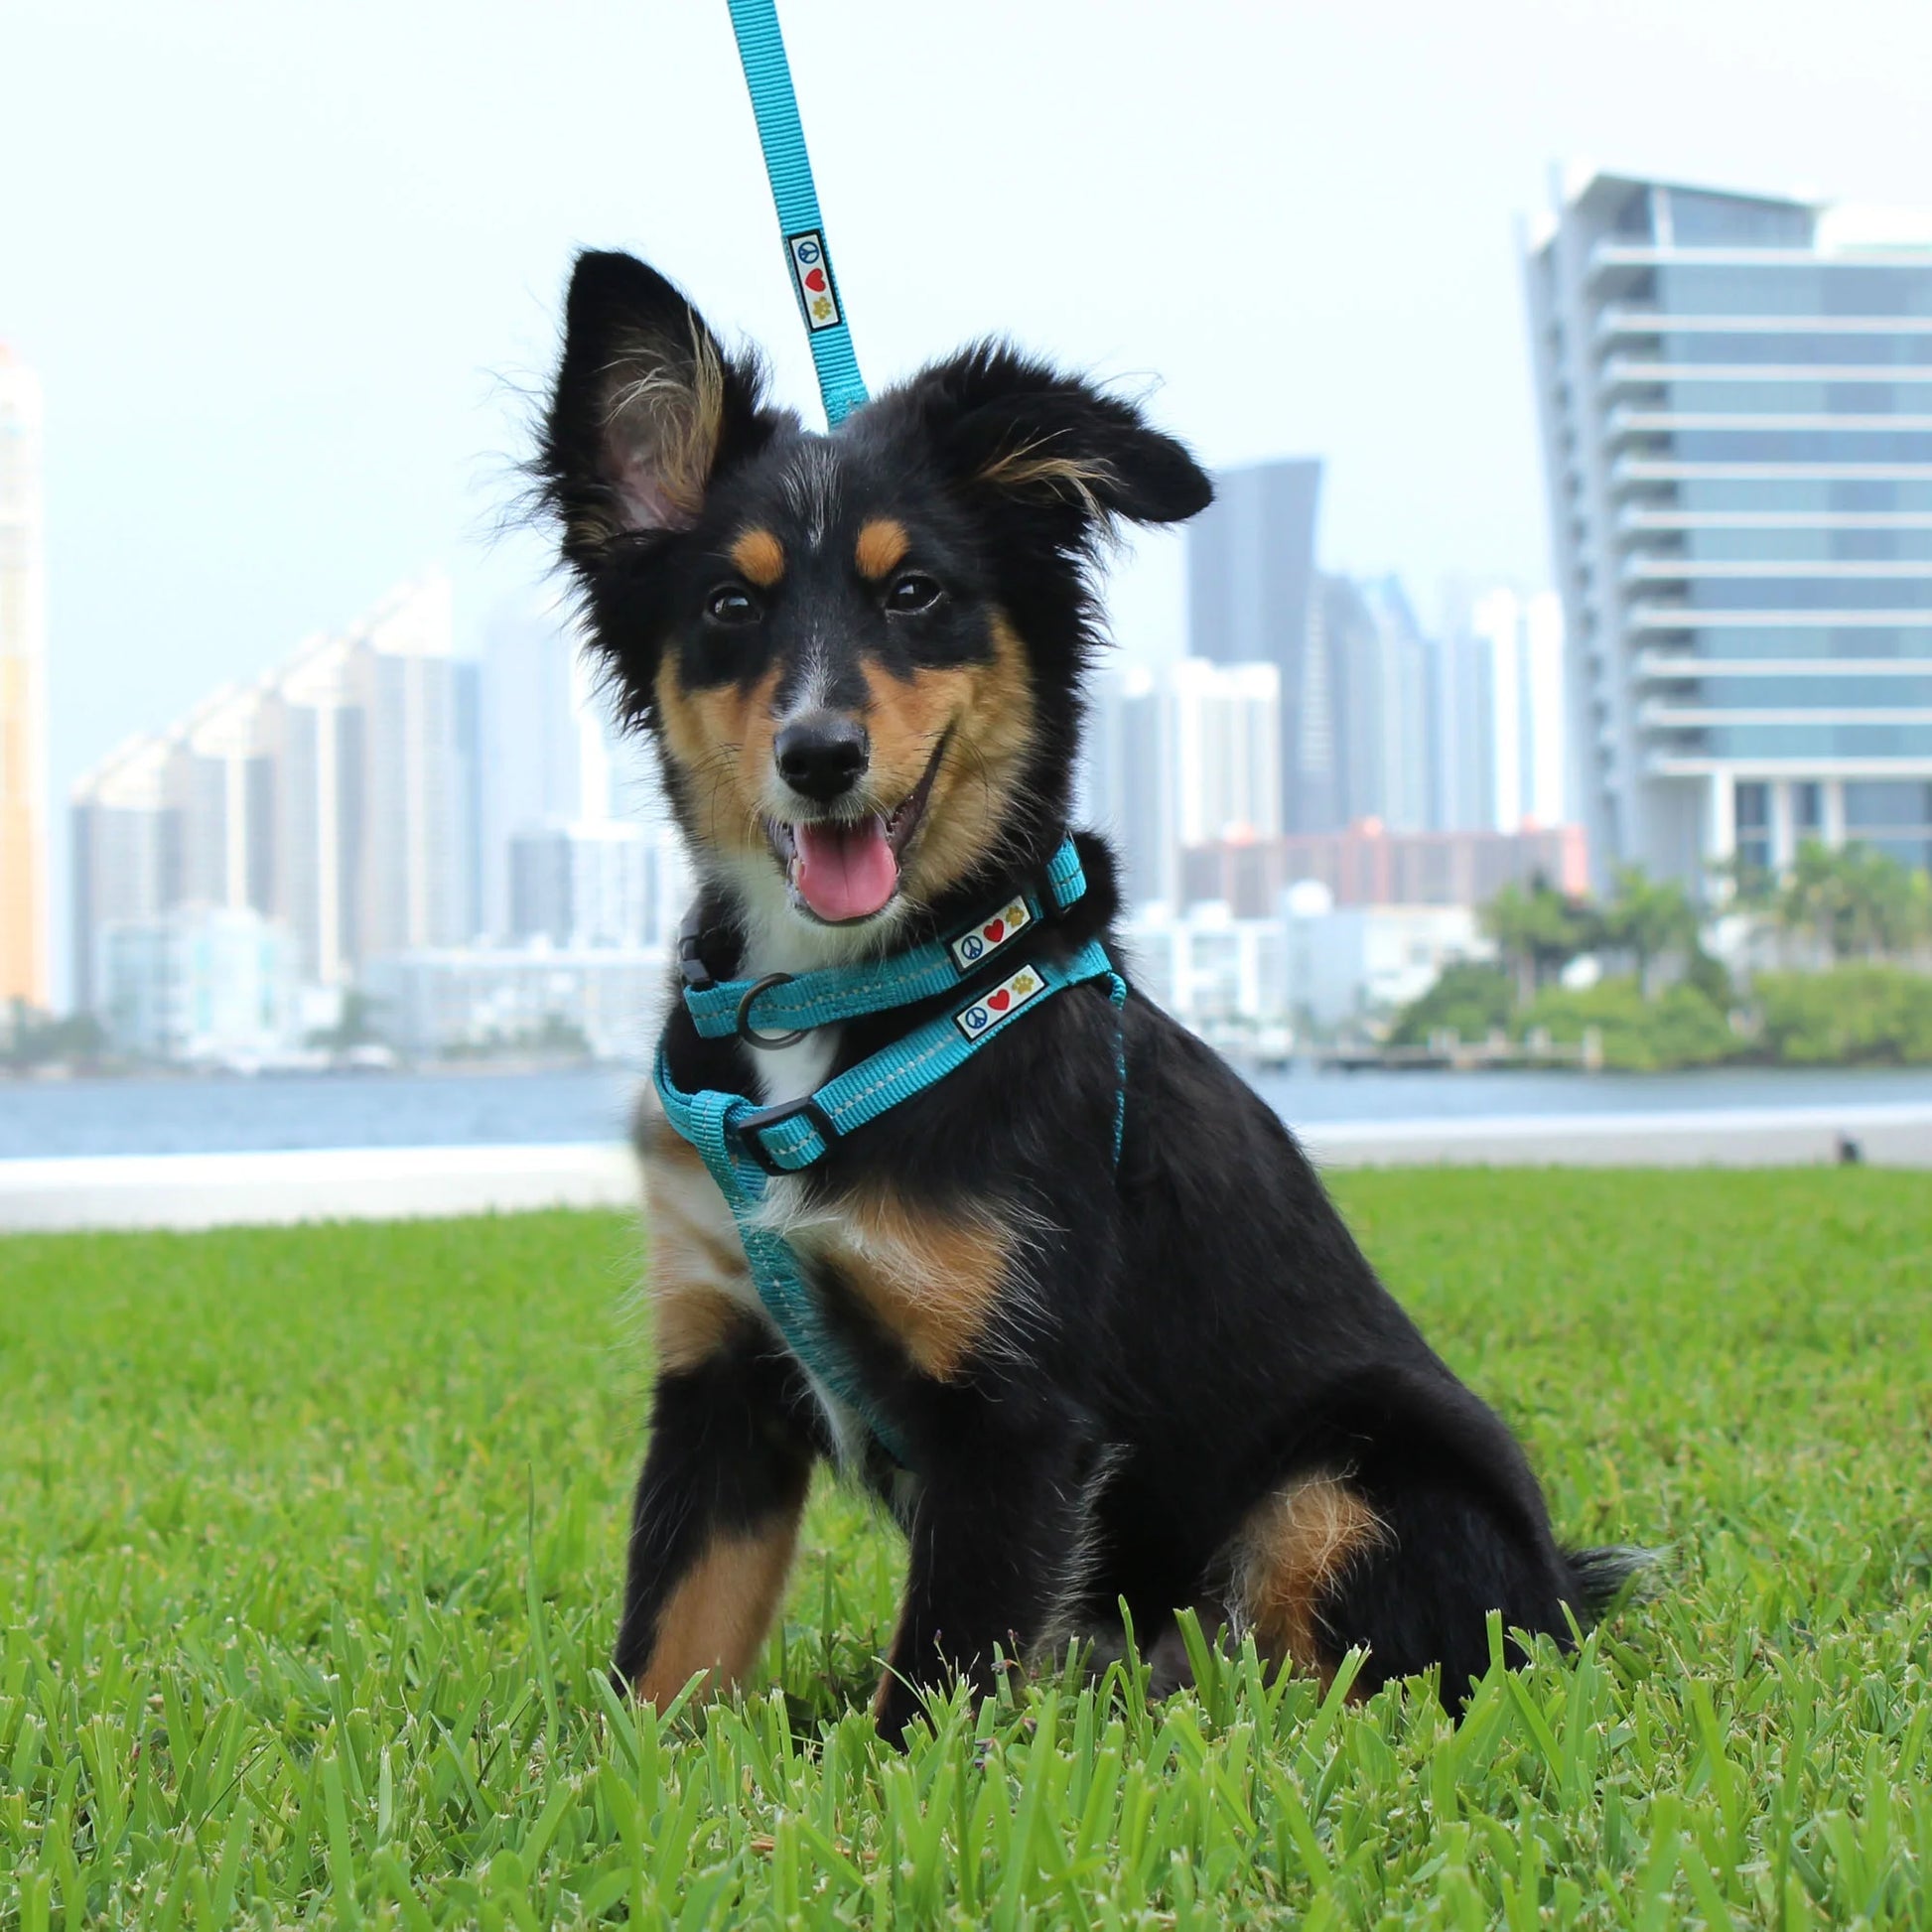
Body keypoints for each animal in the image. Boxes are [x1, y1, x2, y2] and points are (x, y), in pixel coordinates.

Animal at [536, 245, 1638, 1738]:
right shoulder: (716, 1366)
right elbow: (663, 1654)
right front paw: (618, 1779)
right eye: (729, 605)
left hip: (1351, 1481)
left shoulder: (1014, 1414)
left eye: (914, 593)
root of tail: (1558, 1592)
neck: (839, 1006)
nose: (819, 756)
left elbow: (929, 1694)